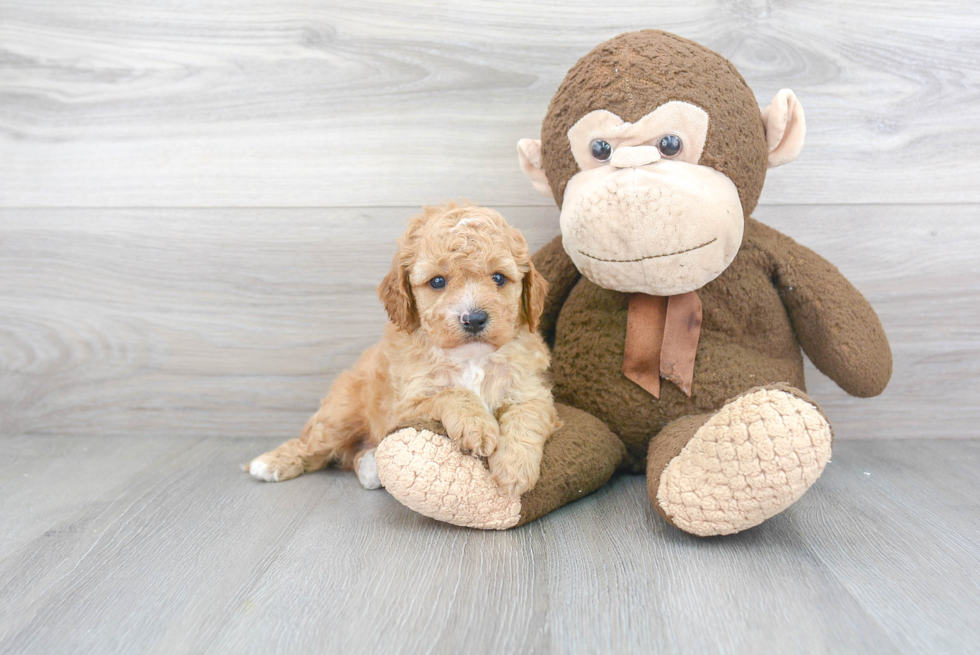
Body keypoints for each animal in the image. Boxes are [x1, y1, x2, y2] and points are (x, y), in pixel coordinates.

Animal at [247, 202, 560, 494]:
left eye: (498, 278)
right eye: (437, 281)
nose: (473, 319)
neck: (471, 359)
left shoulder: (531, 392)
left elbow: (526, 418)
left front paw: (514, 470)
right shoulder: (405, 406)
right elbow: (453, 393)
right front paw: (478, 427)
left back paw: (370, 467)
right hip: (342, 412)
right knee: (314, 443)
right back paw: (270, 464)